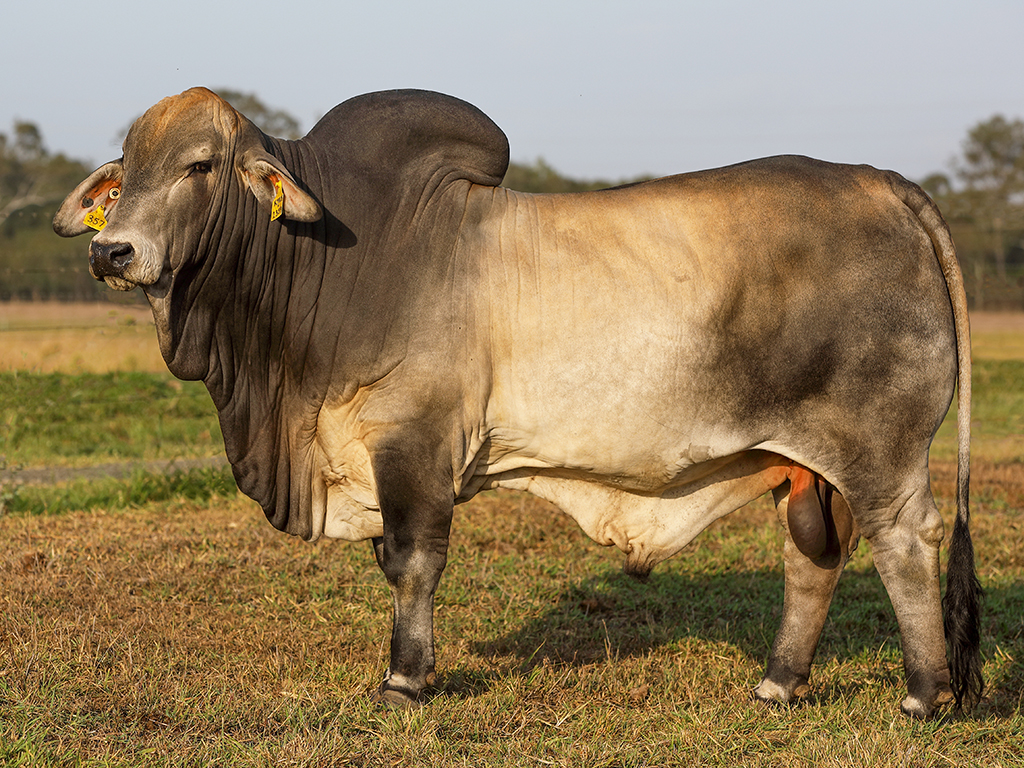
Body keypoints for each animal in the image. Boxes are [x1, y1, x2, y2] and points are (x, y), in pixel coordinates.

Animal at [54, 87, 981, 718]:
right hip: (802, 463)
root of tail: (882, 181)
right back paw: (778, 685)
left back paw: (925, 695)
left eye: (199, 166)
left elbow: (411, 561)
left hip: (880, 450)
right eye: (123, 174)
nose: (112, 251)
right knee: (812, 558)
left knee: (904, 544)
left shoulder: (414, 443)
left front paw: (404, 680)